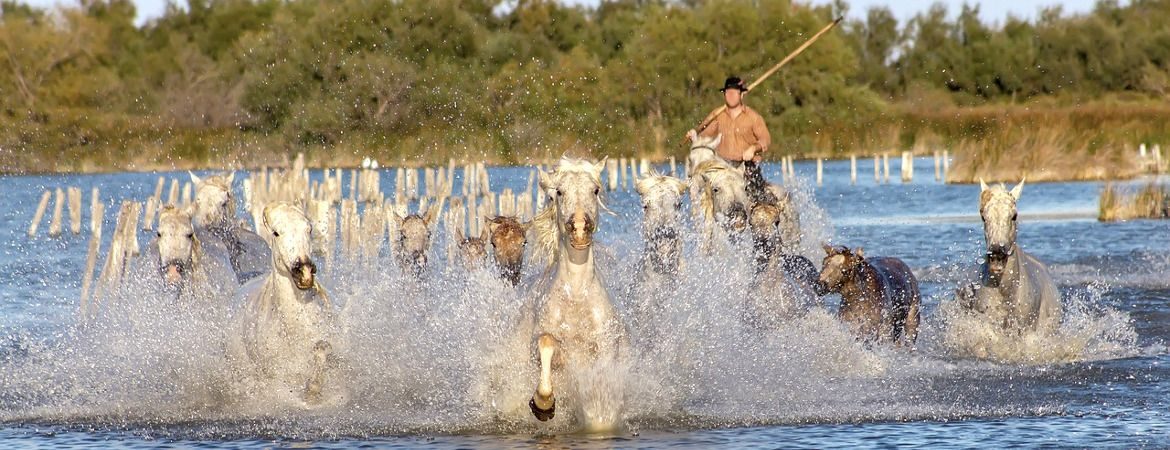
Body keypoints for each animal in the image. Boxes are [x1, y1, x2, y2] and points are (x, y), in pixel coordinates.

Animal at [232, 201, 334, 404]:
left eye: (309, 229)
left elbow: (322, 348)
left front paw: (313, 390)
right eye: (276, 233)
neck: (293, 328)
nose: (304, 271)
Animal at [526, 156, 627, 425]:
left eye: (596, 190)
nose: (580, 228)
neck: (576, 295)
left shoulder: (606, 346)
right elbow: (547, 343)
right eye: (559, 192)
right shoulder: (539, 344)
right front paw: (543, 405)